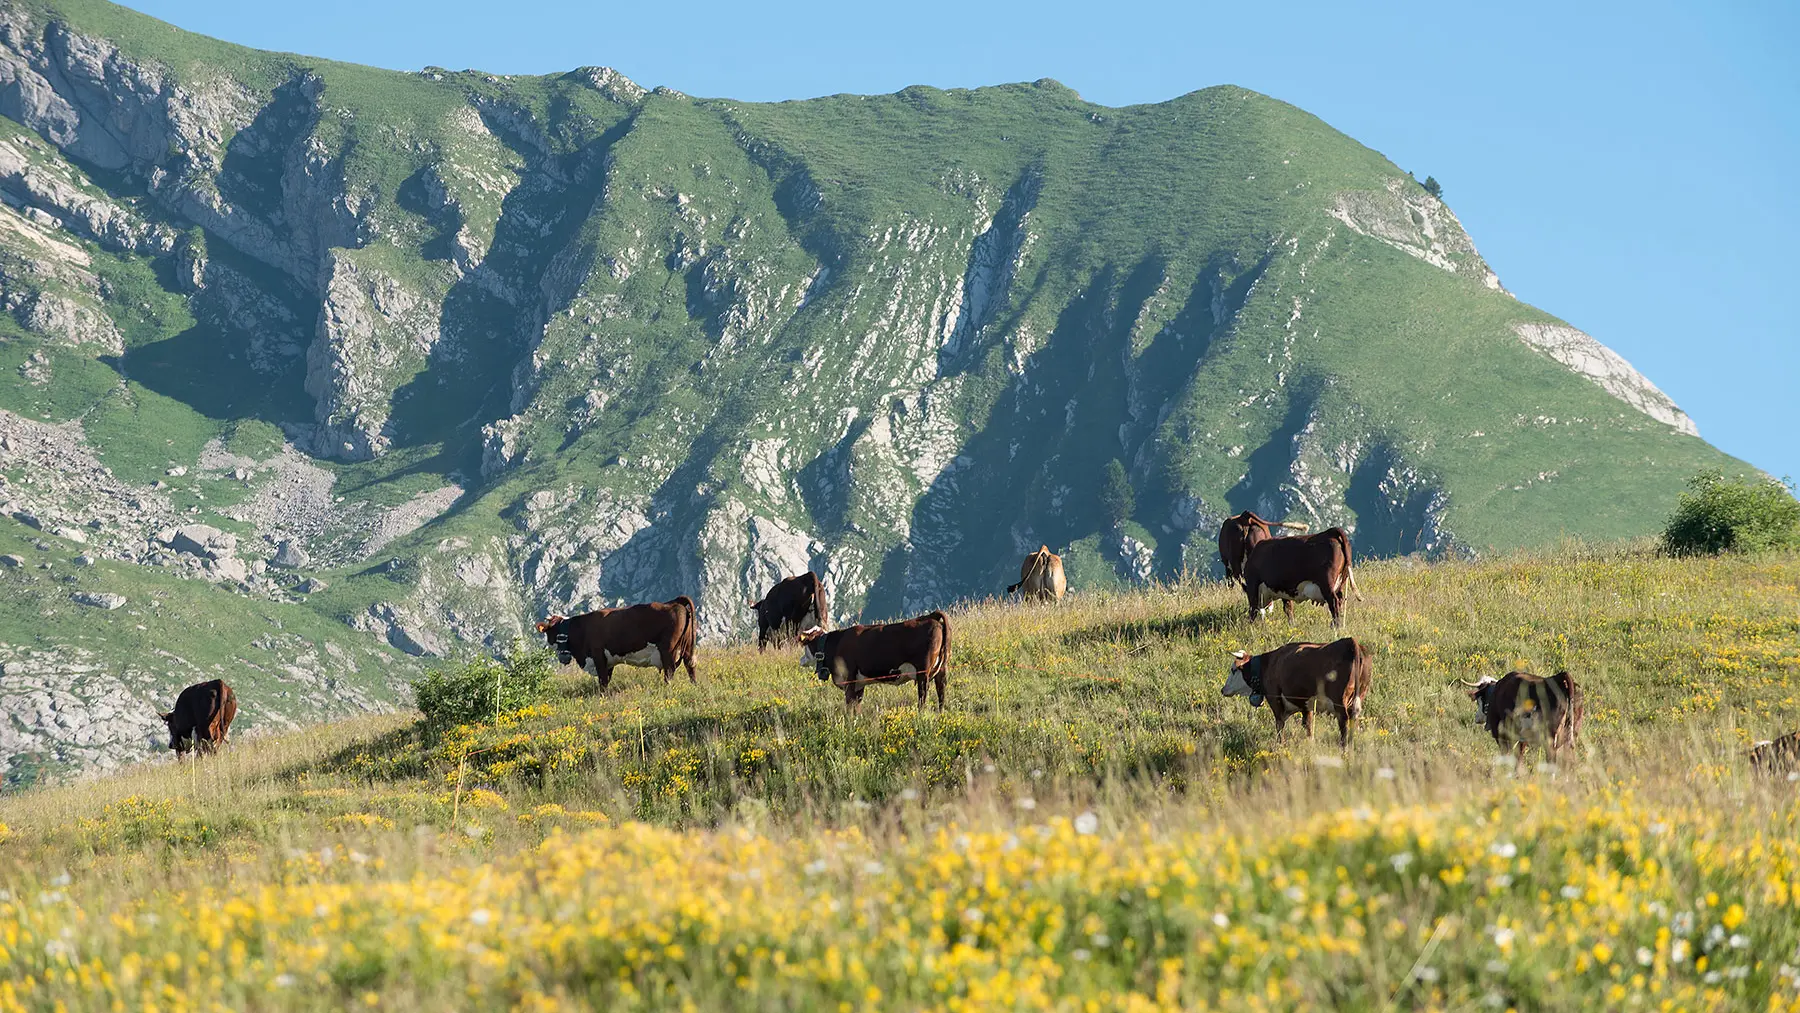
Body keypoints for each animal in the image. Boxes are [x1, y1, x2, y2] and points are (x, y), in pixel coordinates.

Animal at [532, 593, 694, 690]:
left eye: (551, 632)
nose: (563, 657)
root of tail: (674, 602)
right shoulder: (608, 662)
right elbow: (607, 679)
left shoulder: (598, 656)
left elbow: (603, 682)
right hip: (687, 648)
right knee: (690, 666)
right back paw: (695, 685)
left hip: (668, 650)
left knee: (670, 671)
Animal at [795, 611, 950, 712]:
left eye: (805, 644)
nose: (801, 660)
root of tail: (930, 617)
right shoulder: (859, 684)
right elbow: (856, 706)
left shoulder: (849, 679)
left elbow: (849, 706)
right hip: (941, 670)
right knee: (941, 692)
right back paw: (940, 713)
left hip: (923, 672)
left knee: (923, 696)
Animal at [1216, 636, 1368, 748]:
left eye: (1233, 669)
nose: (1223, 689)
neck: (1268, 664)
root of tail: (1350, 642)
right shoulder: (1306, 706)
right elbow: (1308, 727)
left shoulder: (1275, 701)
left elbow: (1279, 726)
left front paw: (1280, 746)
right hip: (1357, 699)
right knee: (1353, 721)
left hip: (1340, 703)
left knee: (1344, 725)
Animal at [1461, 672, 1591, 762]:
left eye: (1479, 700)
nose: (1477, 718)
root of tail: (1560, 677)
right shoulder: (1521, 738)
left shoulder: (1501, 735)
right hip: (1570, 735)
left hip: (1550, 738)